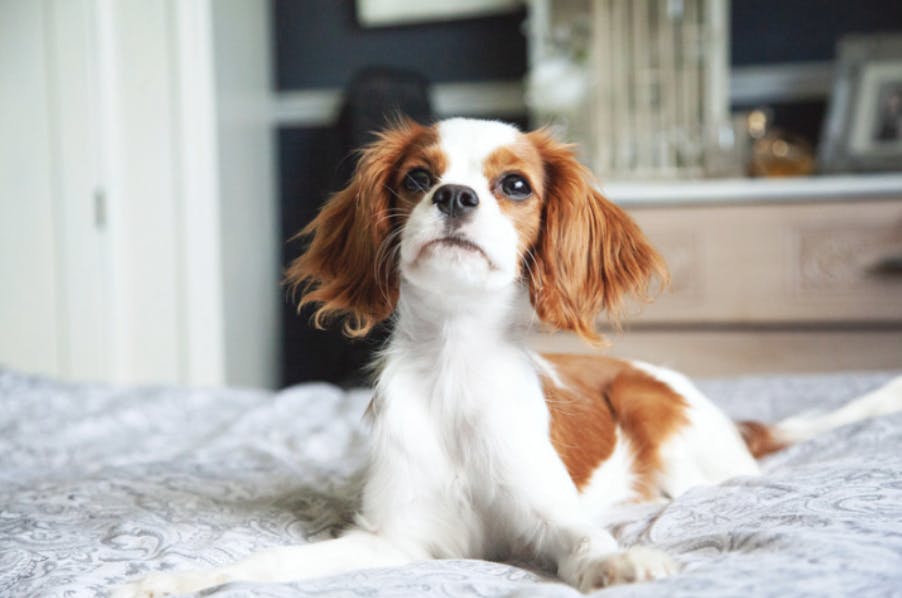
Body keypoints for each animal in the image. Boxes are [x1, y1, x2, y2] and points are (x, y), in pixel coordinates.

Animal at [120, 117, 902, 596]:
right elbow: (270, 561)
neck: (455, 367)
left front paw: (623, 558)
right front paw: (171, 580)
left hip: (671, 432)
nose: (454, 195)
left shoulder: (544, 516)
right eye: (416, 178)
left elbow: (583, 540)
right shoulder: (392, 541)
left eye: (515, 184)